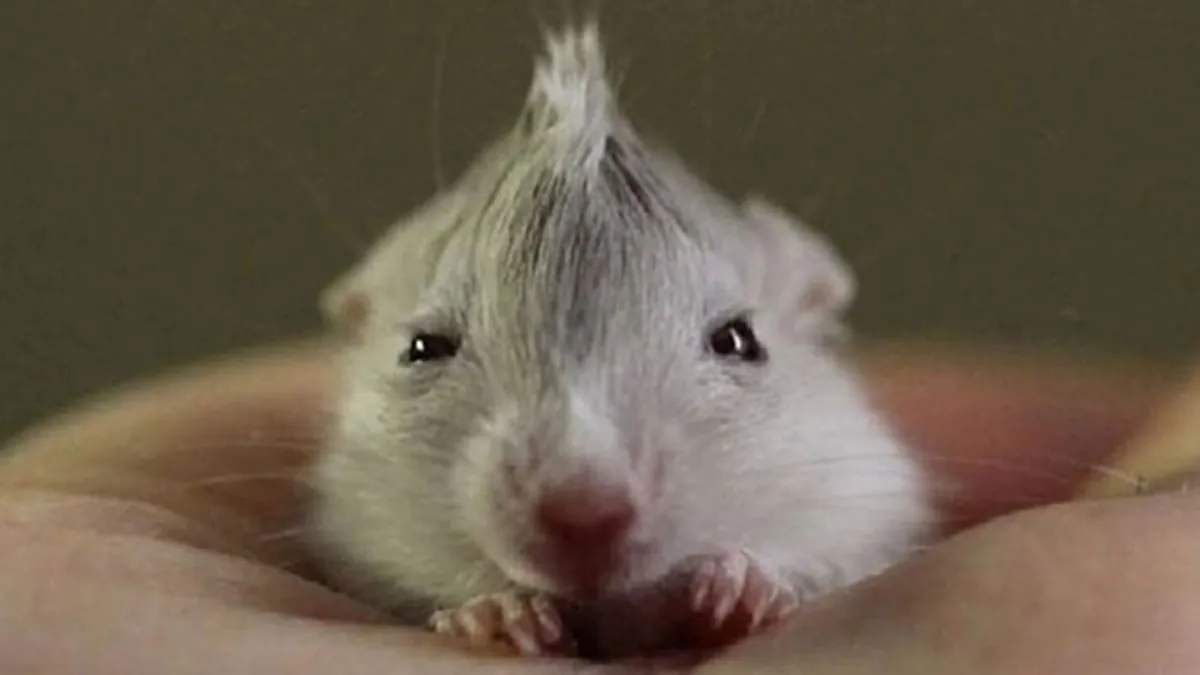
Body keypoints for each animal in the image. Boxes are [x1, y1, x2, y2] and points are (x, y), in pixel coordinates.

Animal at [306, 23, 934, 660]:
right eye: (423, 347)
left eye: (739, 340)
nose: (584, 515)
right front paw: (501, 614)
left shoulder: (865, 503)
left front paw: (738, 590)